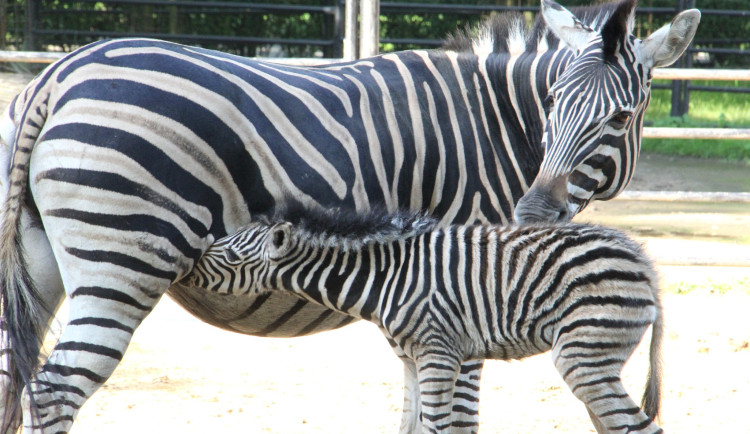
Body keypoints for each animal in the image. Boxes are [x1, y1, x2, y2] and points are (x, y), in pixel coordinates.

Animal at [0, 1, 700, 432]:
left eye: (621, 117)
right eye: (552, 103)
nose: (532, 214)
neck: (498, 125)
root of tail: (56, 75)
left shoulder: (429, 301)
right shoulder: (468, 290)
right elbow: (457, 418)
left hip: (36, 262)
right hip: (121, 265)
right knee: (57, 389)